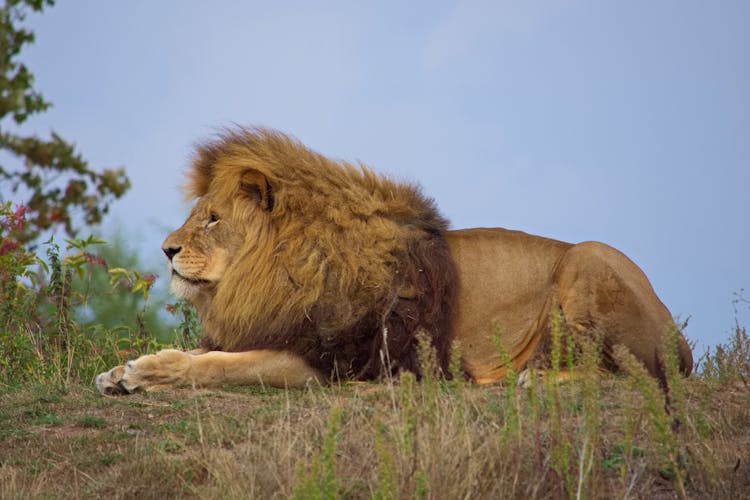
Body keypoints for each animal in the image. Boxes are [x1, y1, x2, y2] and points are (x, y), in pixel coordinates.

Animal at [97, 128, 696, 394]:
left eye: (213, 219)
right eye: (198, 215)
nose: (167, 250)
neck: (277, 271)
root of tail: (682, 340)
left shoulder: (328, 361)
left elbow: (216, 365)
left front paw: (146, 371)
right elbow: (204, 352)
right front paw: (119, 369)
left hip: (590, 260)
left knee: (636, 373)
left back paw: (532, 378)